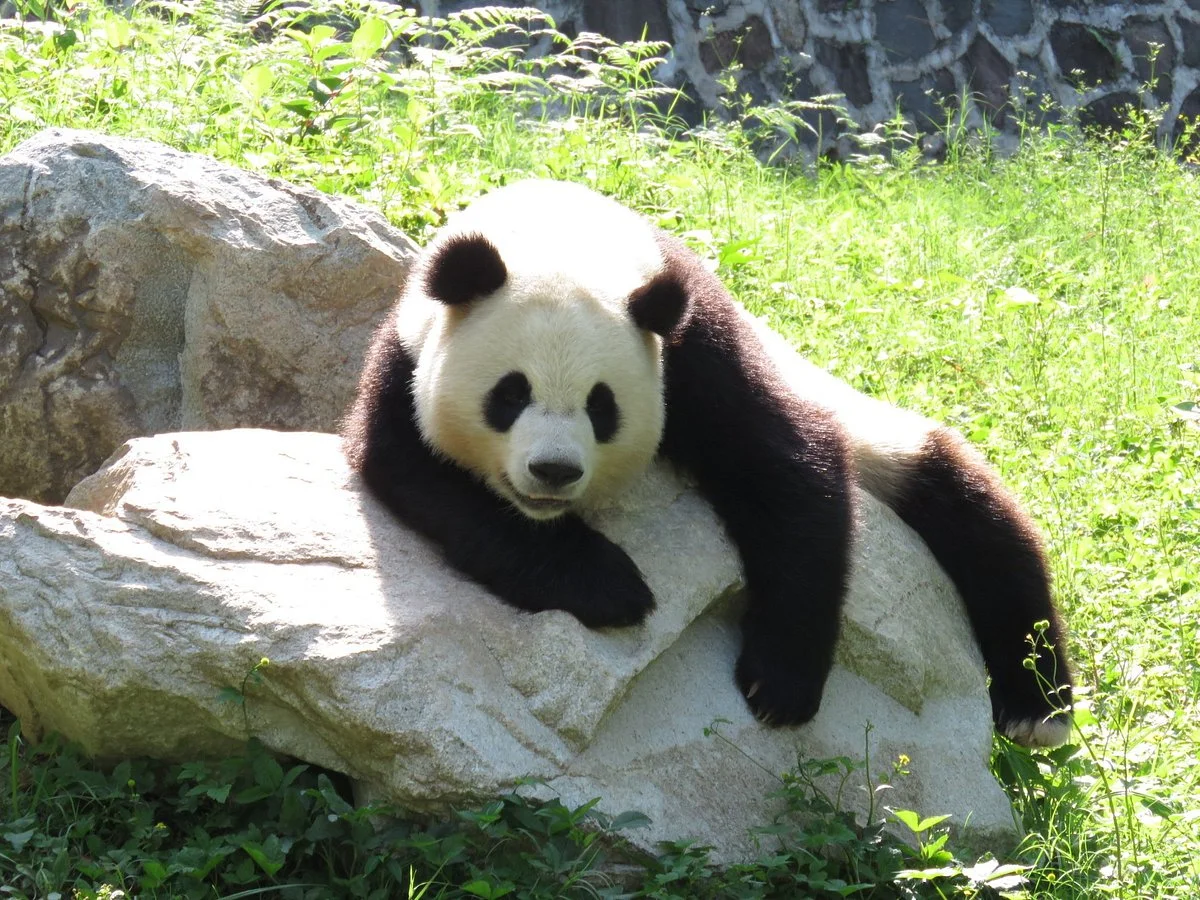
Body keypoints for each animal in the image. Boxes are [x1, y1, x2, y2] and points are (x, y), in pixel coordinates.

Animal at [342, 179, 1073, 748]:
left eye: (601, 405)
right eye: (510, 393)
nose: (553, 472)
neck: (557, 235)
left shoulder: (693, 348)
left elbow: (788, 469)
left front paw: (780, 684)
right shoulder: (409, 350)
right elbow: (417, 472)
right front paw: (608, 584)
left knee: (977, 514)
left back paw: (1038, 707)